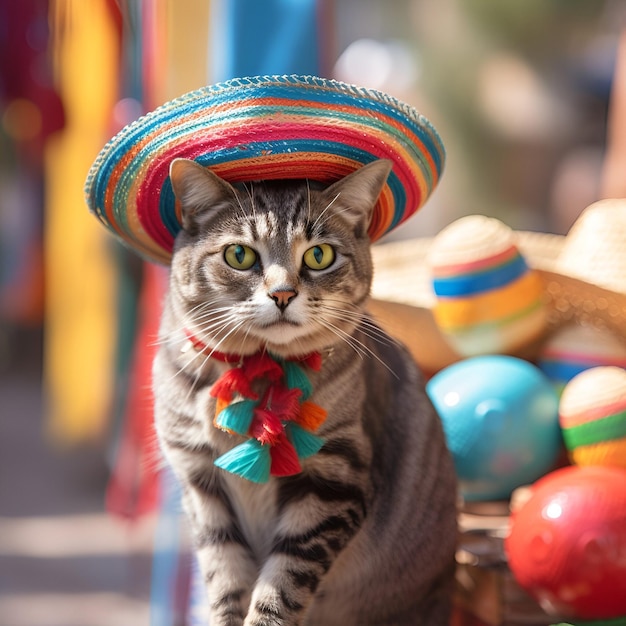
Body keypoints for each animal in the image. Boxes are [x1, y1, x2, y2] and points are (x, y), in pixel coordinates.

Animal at [151, 157, 454, 624]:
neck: (257, 373)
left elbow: (282, 587)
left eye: (319, 255)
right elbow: (226, 581)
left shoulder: (332, 480)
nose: (282, 294)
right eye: (239, 255)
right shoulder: (202, 484)